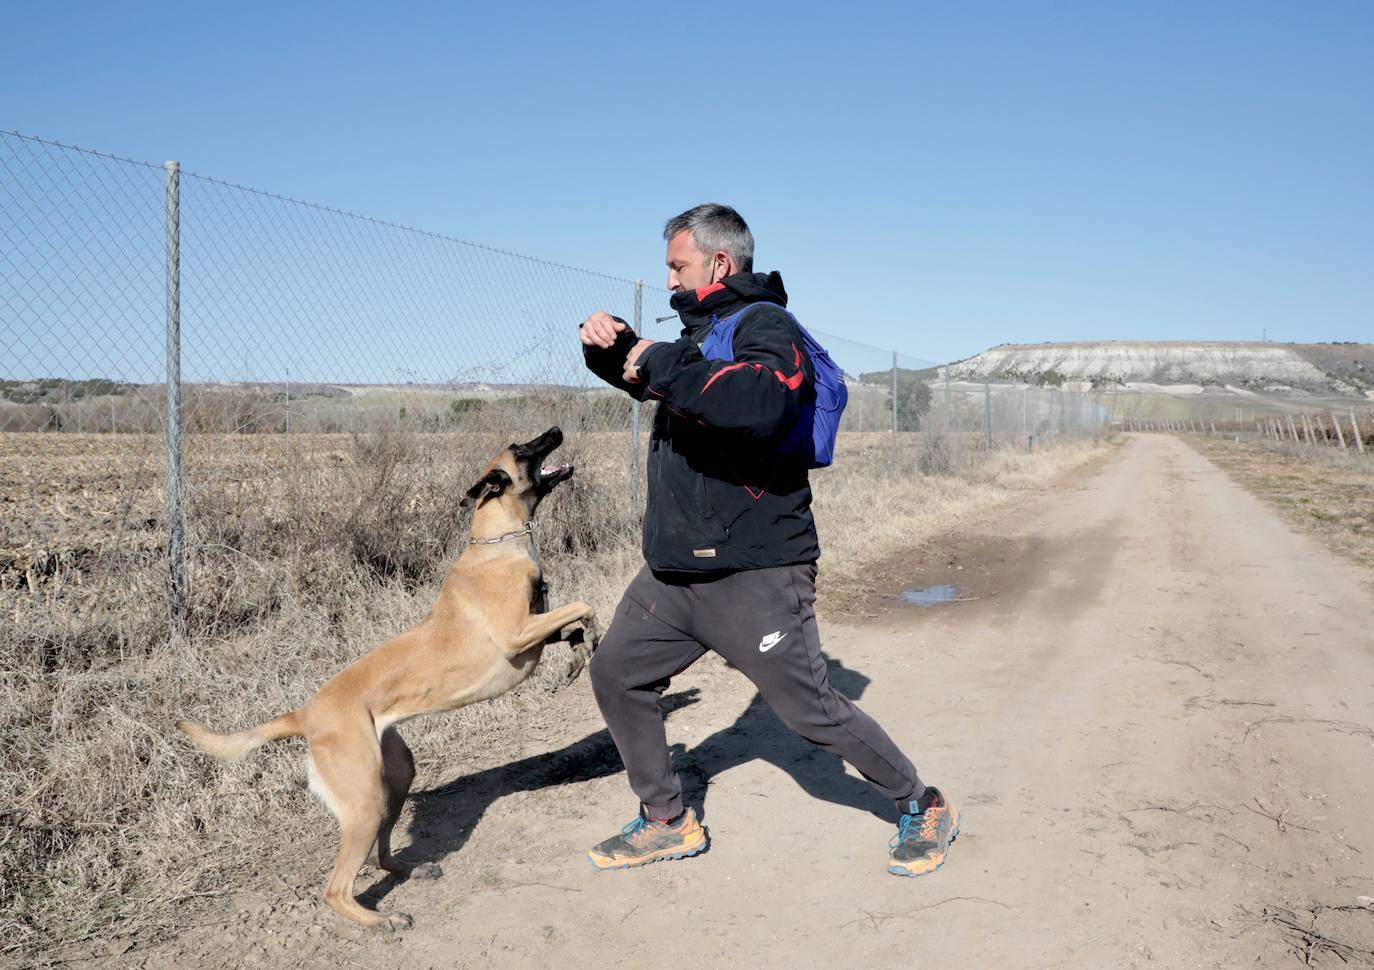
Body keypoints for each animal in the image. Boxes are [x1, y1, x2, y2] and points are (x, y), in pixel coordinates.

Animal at [175, 425, 596, 923]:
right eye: (522, 449)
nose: (555, 430)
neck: (499, 544)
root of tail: (304, 715)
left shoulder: (533, 634)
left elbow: (571, 621)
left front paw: (580, 652)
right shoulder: (516, 637)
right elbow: (584, 604)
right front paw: (590, 637)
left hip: (395, 775)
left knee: (381, 854)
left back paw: (408, 871)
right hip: (364, 802)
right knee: (335, 890)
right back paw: (379, 922)